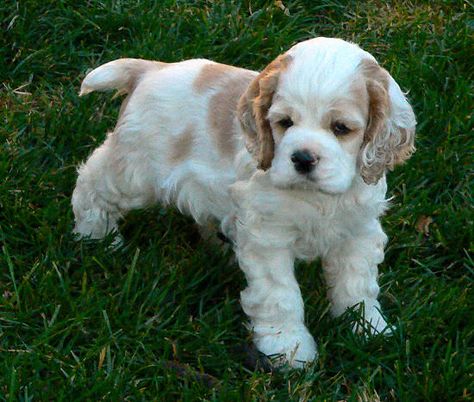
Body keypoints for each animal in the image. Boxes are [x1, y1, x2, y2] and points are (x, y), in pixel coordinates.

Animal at [71, 37, 414, 368]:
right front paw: (288, 348)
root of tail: (151, 70)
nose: (302, 158)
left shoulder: (358, 231)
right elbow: (281, 295)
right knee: (92, 184)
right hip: (135, 168)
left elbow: (357, 285)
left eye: (341, 128)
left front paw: (368, 328)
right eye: (284, 122)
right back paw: (96, 237)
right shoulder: (268, 237)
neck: (317, 198)